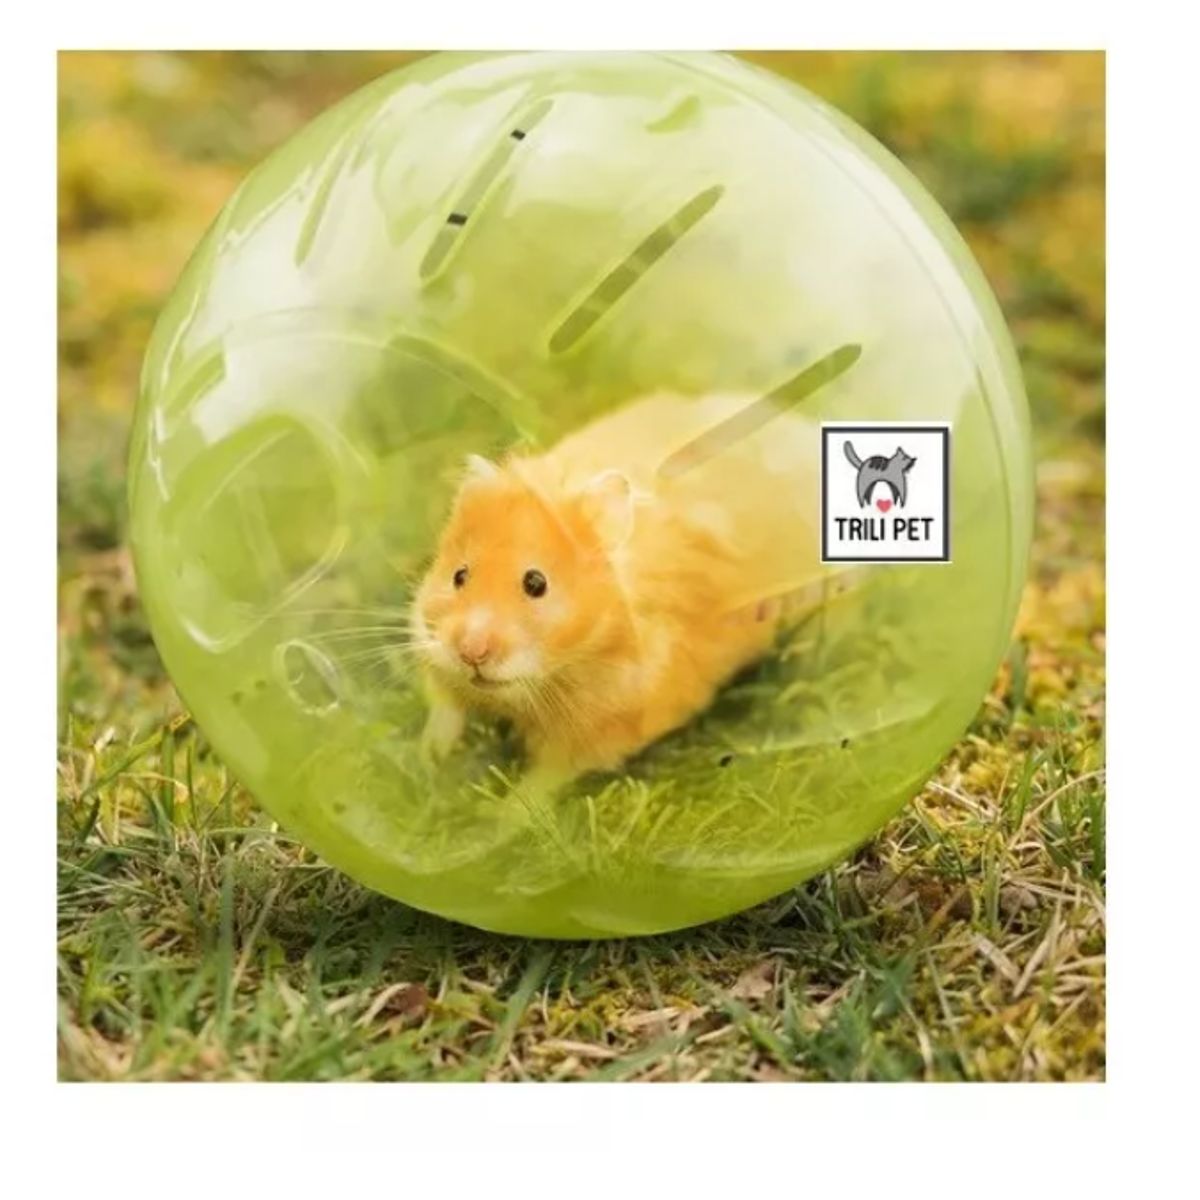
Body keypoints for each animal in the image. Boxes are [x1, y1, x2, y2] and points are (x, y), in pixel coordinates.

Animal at [412, 392, 826, 782]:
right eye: (459, 575)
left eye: (536, 583)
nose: (471, 652)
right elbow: (446, 709)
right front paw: (431, 761)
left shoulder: (602, 729)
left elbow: (543, 782)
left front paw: (503, 811)